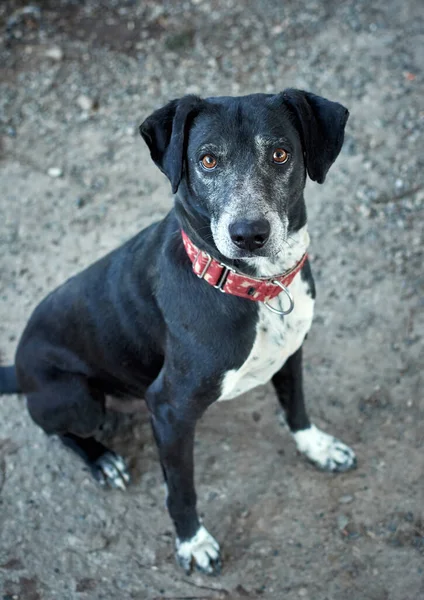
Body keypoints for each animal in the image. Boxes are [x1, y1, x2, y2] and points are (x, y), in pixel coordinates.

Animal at [0, 89, 358, 572]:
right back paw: (103, 460)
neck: (256, 287)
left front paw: (318, 447)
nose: (249, 234)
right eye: (207, 160)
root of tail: (17, 367)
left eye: (281, 154)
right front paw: (193, 541)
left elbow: (297, 407)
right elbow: (181, 489)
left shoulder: (291, 352)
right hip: (78, 399)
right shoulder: (169, 410)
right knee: (55, 429)